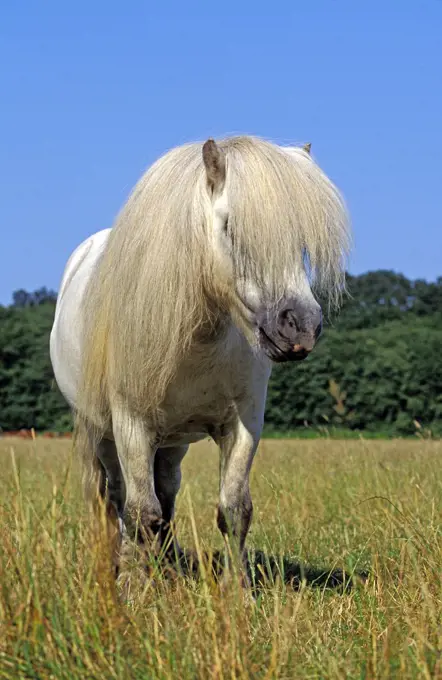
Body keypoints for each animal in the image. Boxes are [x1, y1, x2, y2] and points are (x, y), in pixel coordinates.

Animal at [50, 137, 350, 584]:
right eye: (230, 228)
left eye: (300, 242)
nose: (300, 327)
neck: (196, 340)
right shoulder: (131, 423)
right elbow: (139, 512)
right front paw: (134, 587)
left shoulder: (243, 423)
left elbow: (234, 509)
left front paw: (238, 589)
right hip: (100, 432)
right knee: (119, 499)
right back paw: (123, 564)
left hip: (172, 441)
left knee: (166, 493)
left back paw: (167, 563)